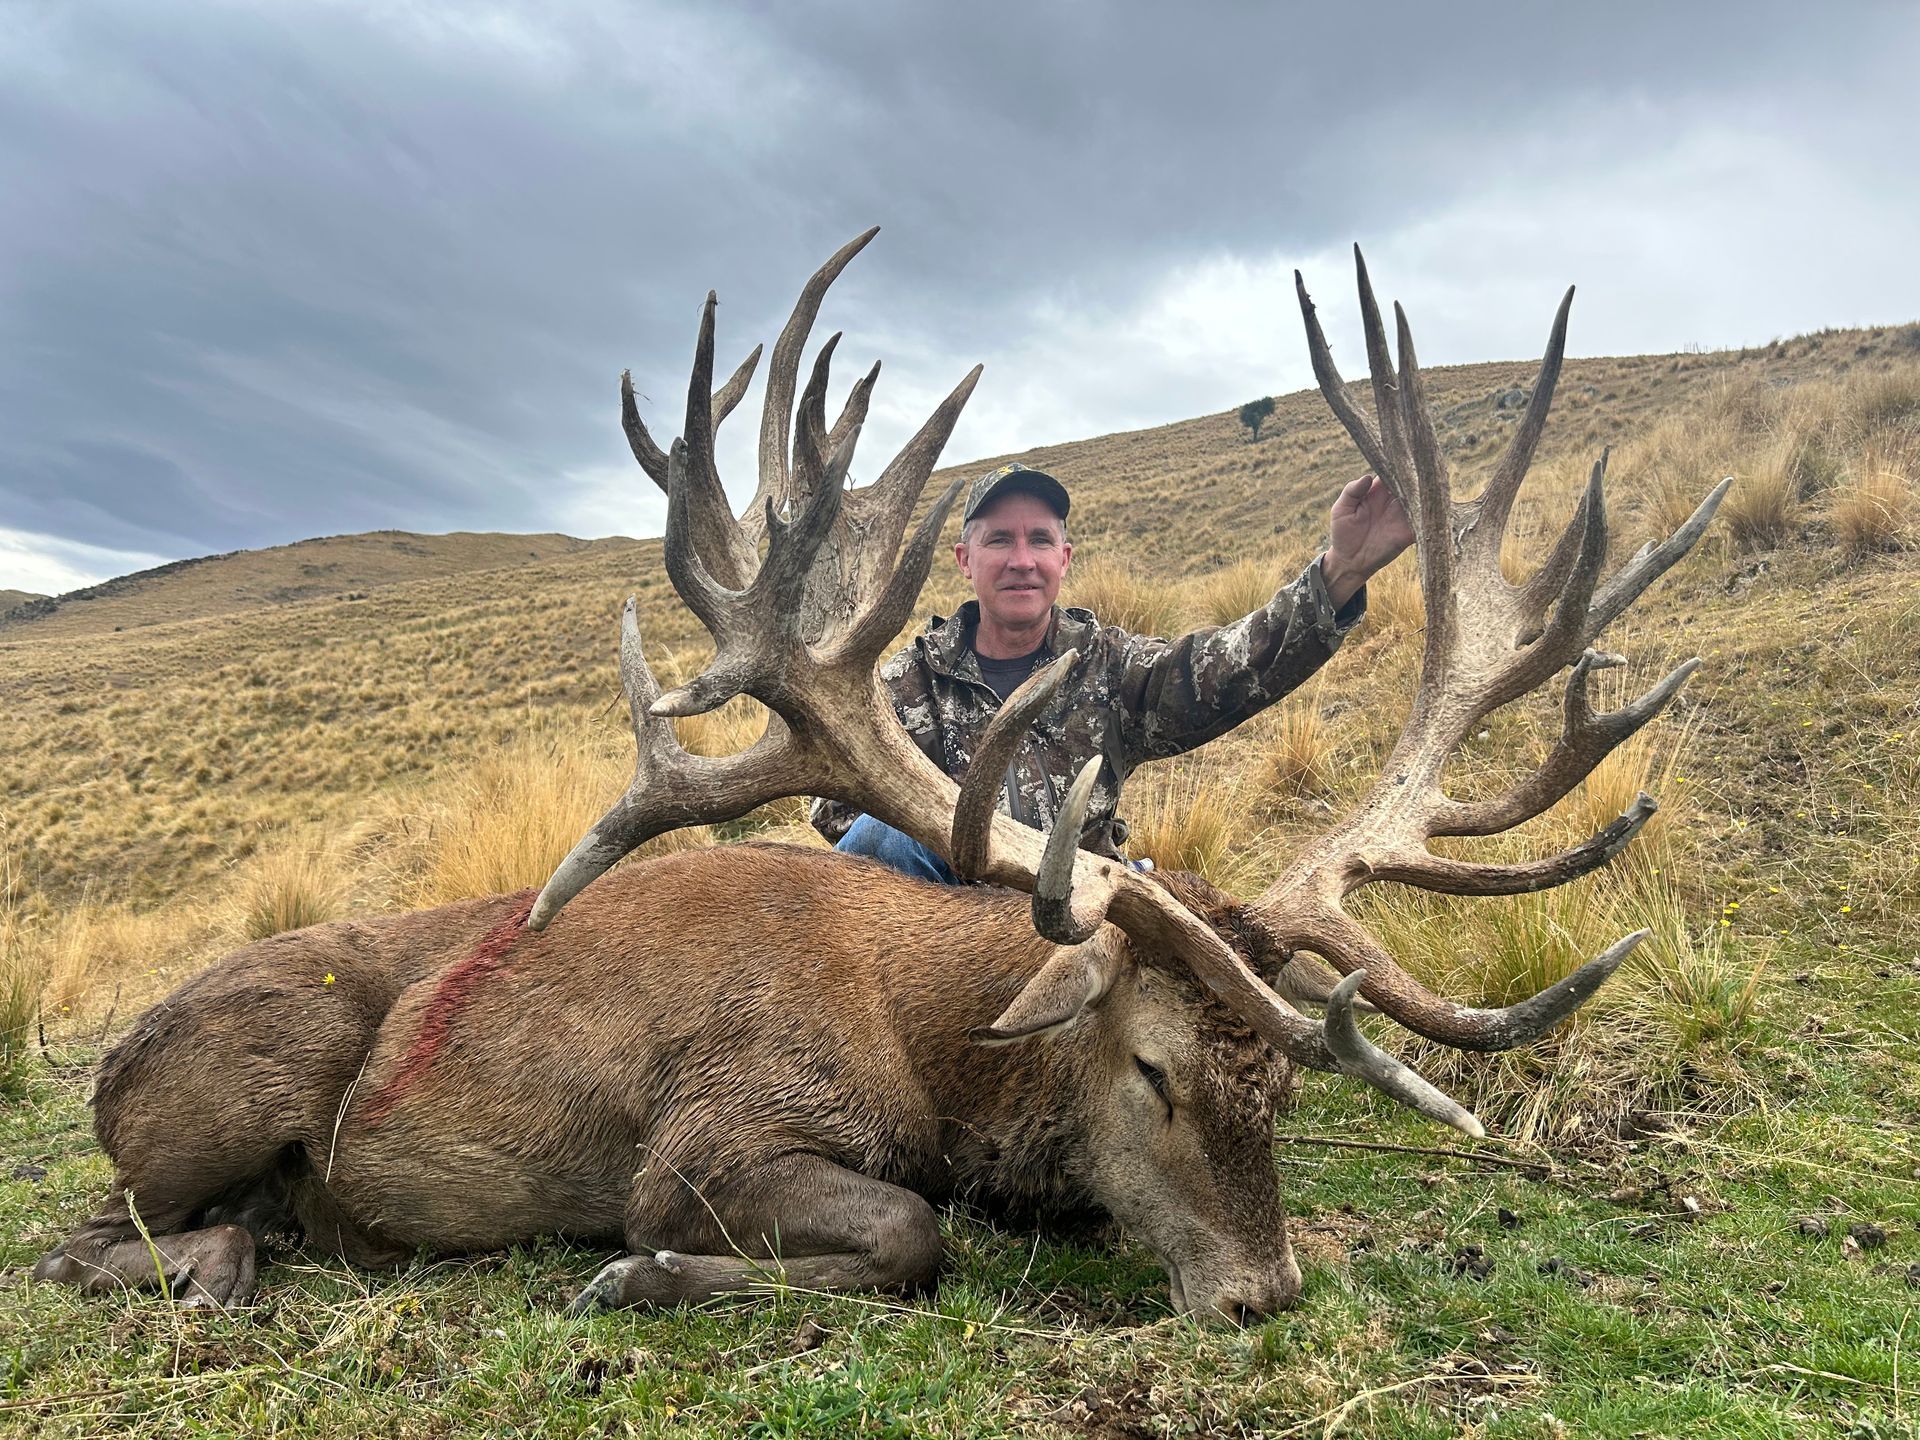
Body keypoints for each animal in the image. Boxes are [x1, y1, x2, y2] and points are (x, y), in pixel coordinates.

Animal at [32, 231, 1726, 1323]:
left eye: (1287, 1093)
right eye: (1153, 1070)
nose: (1262, 1292)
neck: (931, 1045)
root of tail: (108, 1065)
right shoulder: (708, 1133)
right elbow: (910, 1234)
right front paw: (636, 1272)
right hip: (229, 1082)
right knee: (81, 1239)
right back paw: (237, 1260)